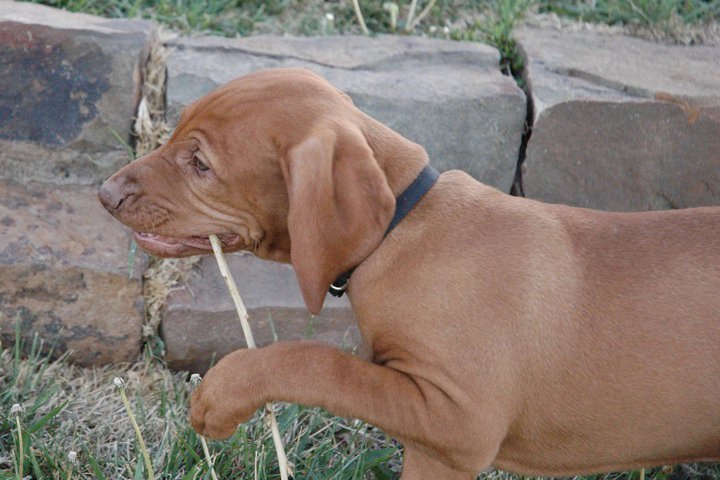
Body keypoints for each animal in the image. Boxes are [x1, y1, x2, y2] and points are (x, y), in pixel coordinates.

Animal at [99, 68, 720, 479]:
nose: (104, 194)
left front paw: (226, 390)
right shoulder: (432, 439)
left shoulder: (459, 419)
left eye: (200, 164)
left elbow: (319, 361)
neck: (403, 227)